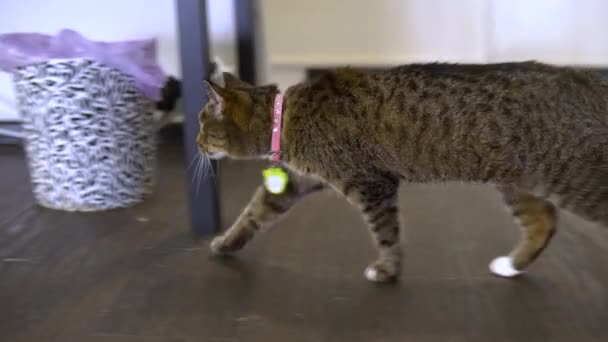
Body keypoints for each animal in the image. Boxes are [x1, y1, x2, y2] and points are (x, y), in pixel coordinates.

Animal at [197, 62, 604, 284]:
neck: (285, 115)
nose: (197, 143)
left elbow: (386, 231)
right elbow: (254, 212)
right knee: (544, 221)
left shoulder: (371, 183)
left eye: (202, 123)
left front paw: (388, 270)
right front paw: (225, 243)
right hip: (518, 182)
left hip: (576, 178)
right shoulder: (295, 181)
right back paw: (512, 265)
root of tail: (584, 77)